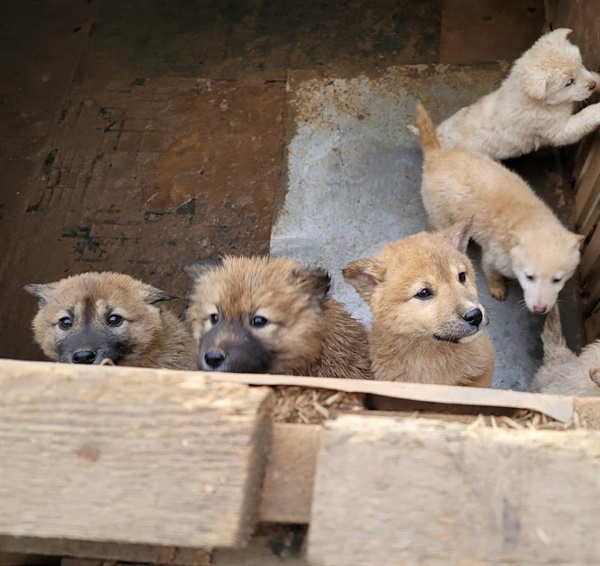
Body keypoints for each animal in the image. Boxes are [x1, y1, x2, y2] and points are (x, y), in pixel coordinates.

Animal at [418, 102, 580, 316]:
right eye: (529, 277)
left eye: (557, 279)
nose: (540, 309)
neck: (527, 221)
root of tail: (437, 154)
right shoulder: (493, 255)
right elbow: (492, 272)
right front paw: (497, 288)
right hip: (441, 212)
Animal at [436, 29, 600, 160]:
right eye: (569, 82)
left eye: (582, 64)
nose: (592, 86)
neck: (541, 102)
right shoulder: (556, 130)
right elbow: (582, 118)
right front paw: (597, 110)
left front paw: (597, 79)